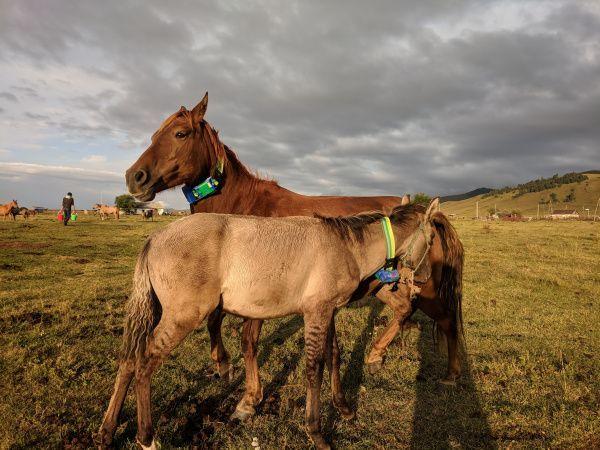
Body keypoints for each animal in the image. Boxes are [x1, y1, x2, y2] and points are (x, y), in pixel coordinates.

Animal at [101, 201, 440, 450]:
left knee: (129, 359)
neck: (345, 246)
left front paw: (344, 408)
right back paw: (146, 437)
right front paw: (316, 432)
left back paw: (107, 430)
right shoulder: (316, 312)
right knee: (144, 362)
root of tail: (155, 238)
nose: (421, 284)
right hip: (182, 316)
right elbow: (314, 368)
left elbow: (333, 356)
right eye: (434, 238)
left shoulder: (327, 311)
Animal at [117, 94, 464, 422]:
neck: (244, 206)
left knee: (446, 319)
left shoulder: (258, 299)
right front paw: (223, 365)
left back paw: (450, 375)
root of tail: (430, 213)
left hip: (425, 288)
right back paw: (377, 355)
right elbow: (216, 322)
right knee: (405, 309)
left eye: (180, 133)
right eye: (154, 134)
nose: (134, 177)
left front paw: (248, 400)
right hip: (385, 285)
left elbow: (248, 341)